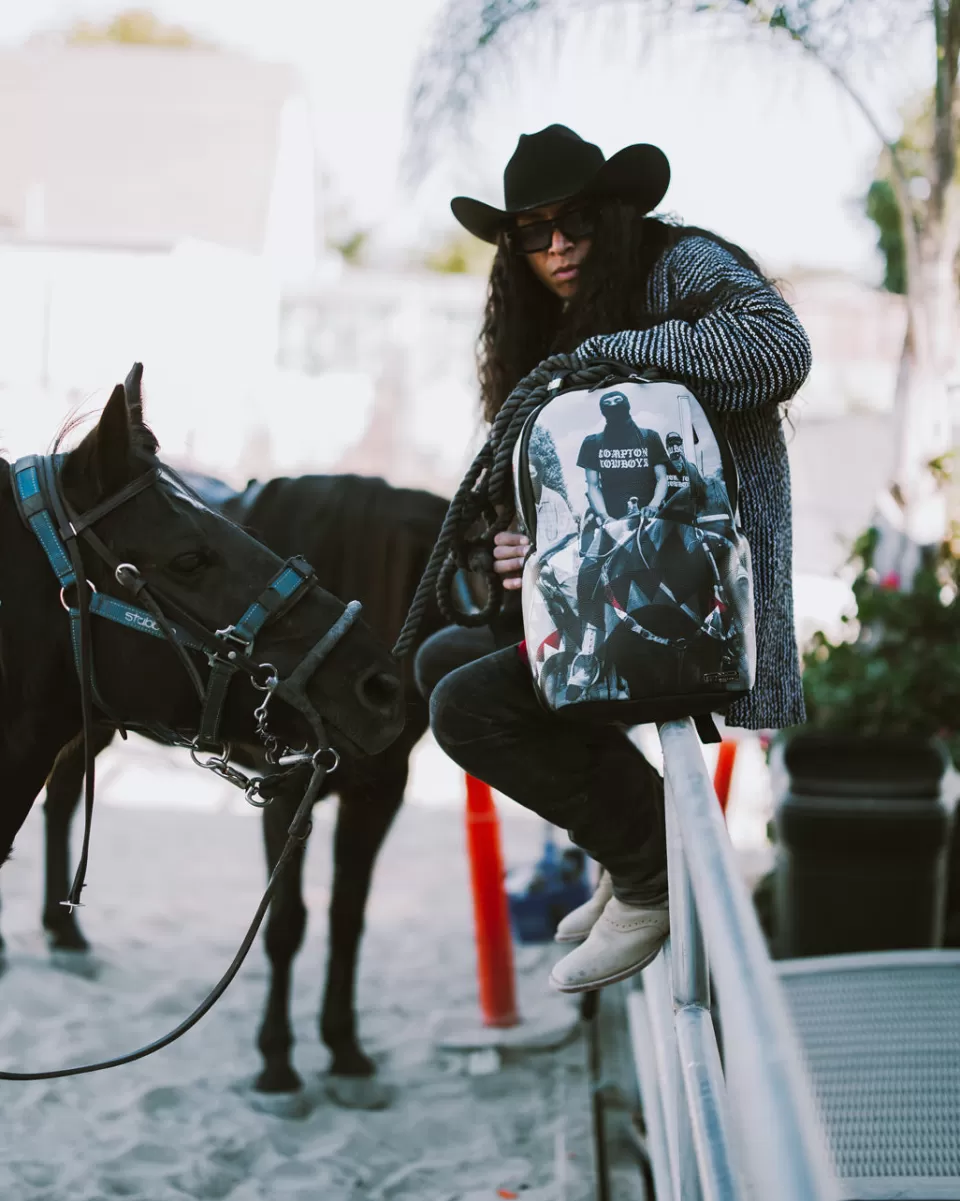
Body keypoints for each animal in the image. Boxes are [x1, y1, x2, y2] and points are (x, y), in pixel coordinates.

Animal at [18, 465, 446, 1104]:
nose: (382, 692)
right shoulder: (289, 793)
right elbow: (287, 922)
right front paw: (278, 1062)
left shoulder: (379, 793)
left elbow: (348, 918)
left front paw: (345, 1049)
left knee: (65, 798)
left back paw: (64, 932)